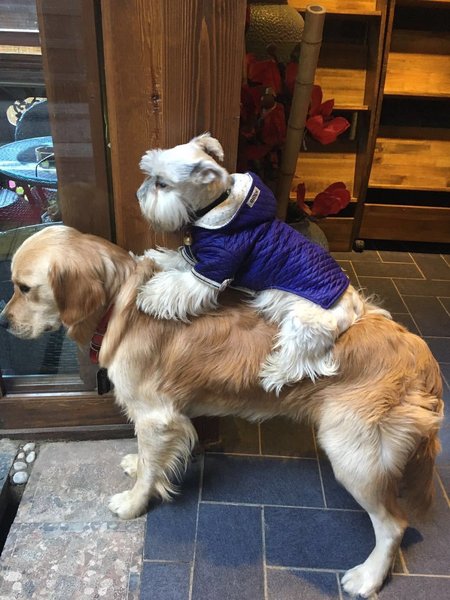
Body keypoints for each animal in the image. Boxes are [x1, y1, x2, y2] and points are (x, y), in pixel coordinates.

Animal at [0, 225, 444, 599]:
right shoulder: (157, 420)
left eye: (24, 288)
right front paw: (136, 463)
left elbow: (150, 472)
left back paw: (368, 577)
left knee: (394, 525)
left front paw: (133, 503)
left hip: (355, 456)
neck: (118, 305)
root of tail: (424, 358)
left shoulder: (156, 416)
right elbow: (146, 458)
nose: (3, 322)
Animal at [135, 133, 366, 393]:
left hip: (305, 325)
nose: (138, 195)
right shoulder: (197, 256)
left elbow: (178, 286)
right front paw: (150, 257)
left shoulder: (214, 269)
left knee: (302, 362)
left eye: (162, 184)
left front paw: (150, 295)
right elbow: (175, 258)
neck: (215, 206)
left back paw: (273, 374)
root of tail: (355, 303)